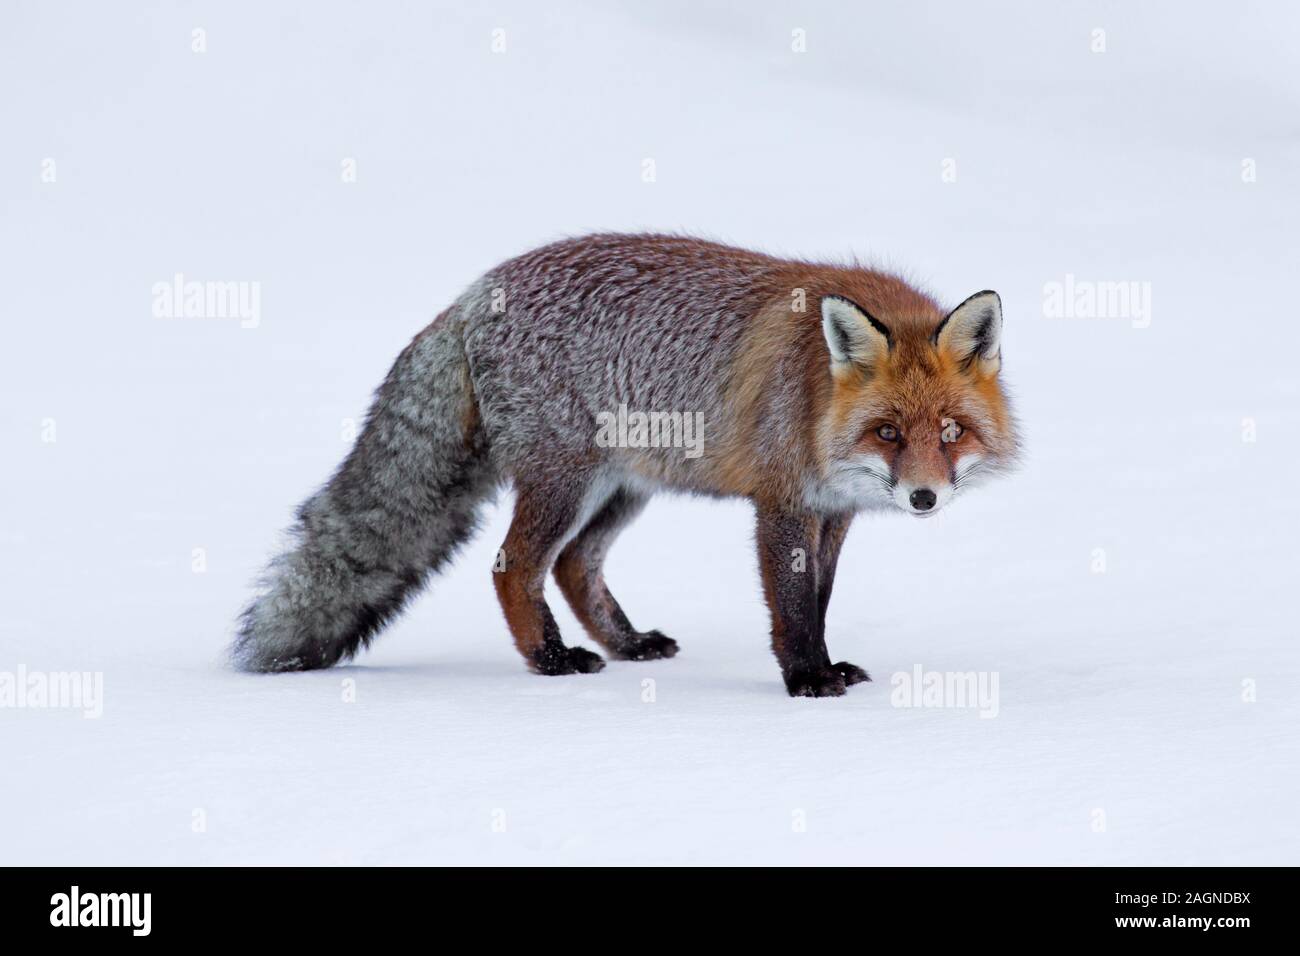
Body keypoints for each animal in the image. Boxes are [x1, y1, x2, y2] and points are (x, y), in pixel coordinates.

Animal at [239, 231, 1019, 697]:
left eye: (949, 431)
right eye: (888, 432)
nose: (923, 498)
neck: (813, 392)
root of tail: (475, 291)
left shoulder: (834, 514)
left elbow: (820, 601)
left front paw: (826, 665)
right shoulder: (782, 505)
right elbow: (793, 609)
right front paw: (805, 679)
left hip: (621, 490)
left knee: (573, 565)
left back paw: (627, 643)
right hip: (567, 481)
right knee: (514, 567)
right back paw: (552, 661)